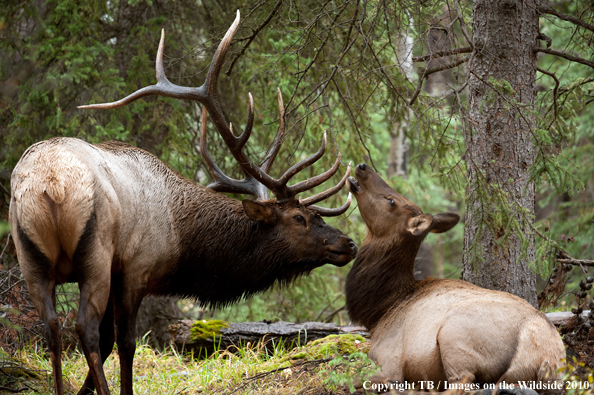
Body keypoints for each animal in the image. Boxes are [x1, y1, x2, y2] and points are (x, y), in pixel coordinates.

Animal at [8, 11, 356, 395]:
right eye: (298, 217)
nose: (349, 243)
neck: (180, 242)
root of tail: (51, 183)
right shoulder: (134, 269)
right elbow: (124, 341)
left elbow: (109, 340)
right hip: (94, 255)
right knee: (83, 327)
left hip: (29, 256)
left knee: (52, 327)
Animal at [344, 164, 560, 390]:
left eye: (391, 201)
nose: (362, 167)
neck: (380, 310)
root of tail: (547, 358)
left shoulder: (388, 360)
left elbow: (354, 380)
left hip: (454, 332)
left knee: (464, 381)